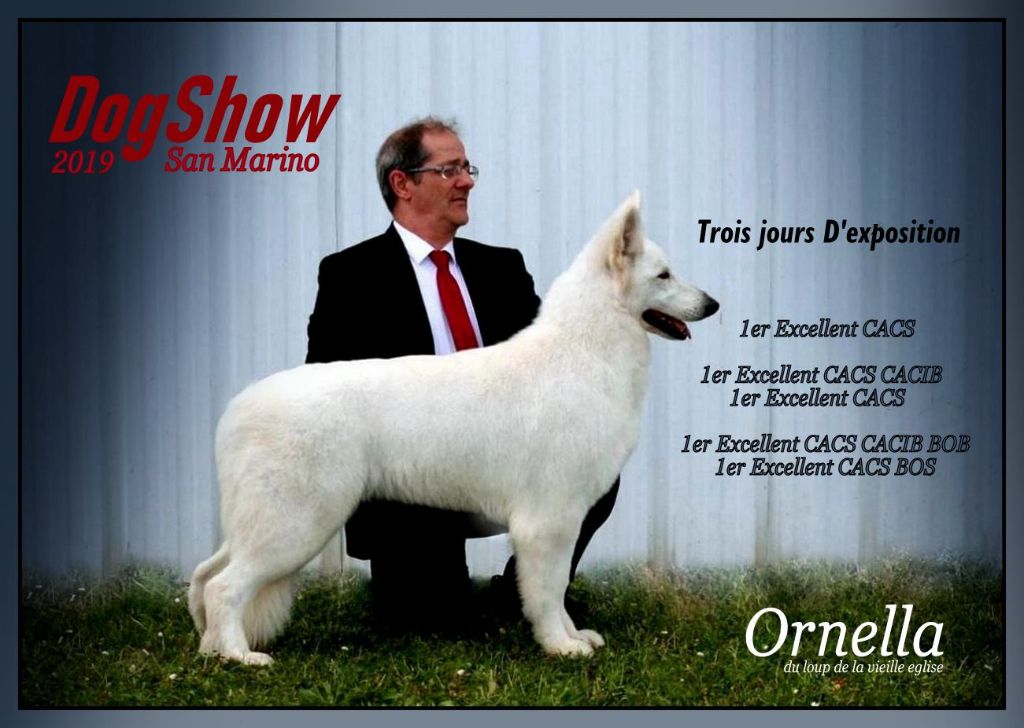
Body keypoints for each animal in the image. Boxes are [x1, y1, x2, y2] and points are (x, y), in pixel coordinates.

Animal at [188, 191, 719, 665]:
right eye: (663, 275)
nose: (712, 304)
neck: (584, 349)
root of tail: (235, 409)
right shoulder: (549, 519)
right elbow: (548, 589)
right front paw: (559, 646)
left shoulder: (562, 519)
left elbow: (558, 587)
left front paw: (573, 636)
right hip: (296, 524)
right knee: (224, 586)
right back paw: (239, 656)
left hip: (261, 522)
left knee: (203, 577)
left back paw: (211, 647)